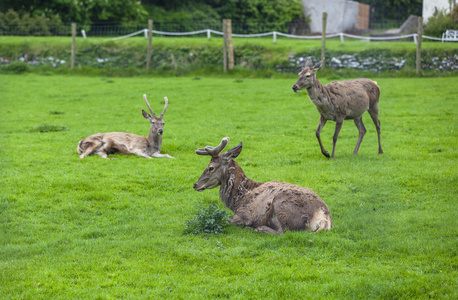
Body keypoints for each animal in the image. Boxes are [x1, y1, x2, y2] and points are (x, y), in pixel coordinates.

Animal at [193, 137, 332, 234]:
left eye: (211, 167)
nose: (195, 185)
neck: (237, 200)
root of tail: (324, 219)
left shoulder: (245, 214)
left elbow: (226, 220)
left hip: (283, 207)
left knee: (284, 232)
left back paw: (259, 228)